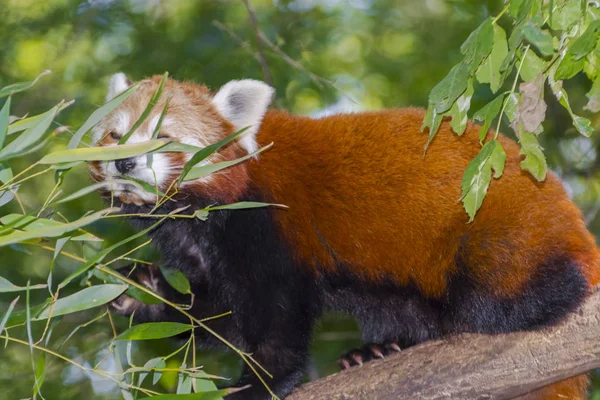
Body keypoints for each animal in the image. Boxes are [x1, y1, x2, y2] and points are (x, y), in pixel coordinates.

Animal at [89, 72, 600, 400]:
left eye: (164, 136)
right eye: (117, 134)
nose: (125, 163)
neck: (197, 215)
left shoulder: (268, 226)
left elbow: (275, 320)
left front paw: (259, 382)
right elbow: (219, 315)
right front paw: (143, 292)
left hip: (507, 230)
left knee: (504, 300)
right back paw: (377, 351)